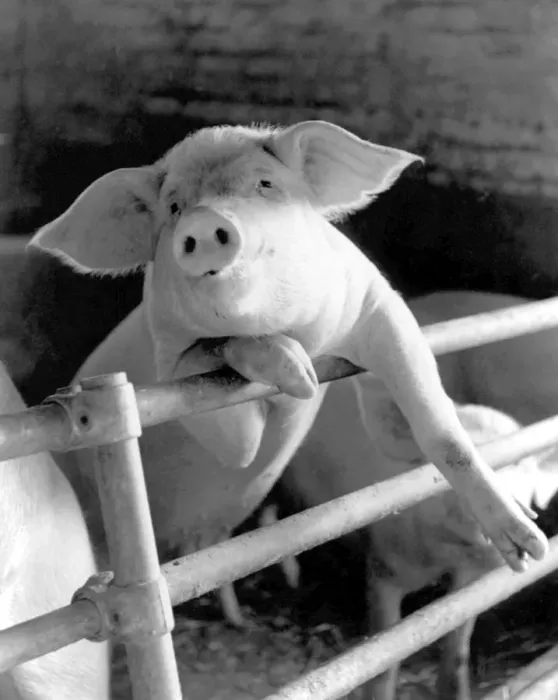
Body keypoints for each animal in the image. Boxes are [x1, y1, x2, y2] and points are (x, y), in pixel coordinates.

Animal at [28, 120, 546, 578]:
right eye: (174, 206)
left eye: (265, 183)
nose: (203, 219)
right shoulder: (173, 370)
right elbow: (238, 439)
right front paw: (299, 376)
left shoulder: (376, 303)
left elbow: (443, 431)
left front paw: (528, 549)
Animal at [282, 373, 558, 700]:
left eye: (522, 466)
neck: (447, 553)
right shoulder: (384, 567)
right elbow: (384, 655)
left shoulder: (471, 580)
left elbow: (457, 647)